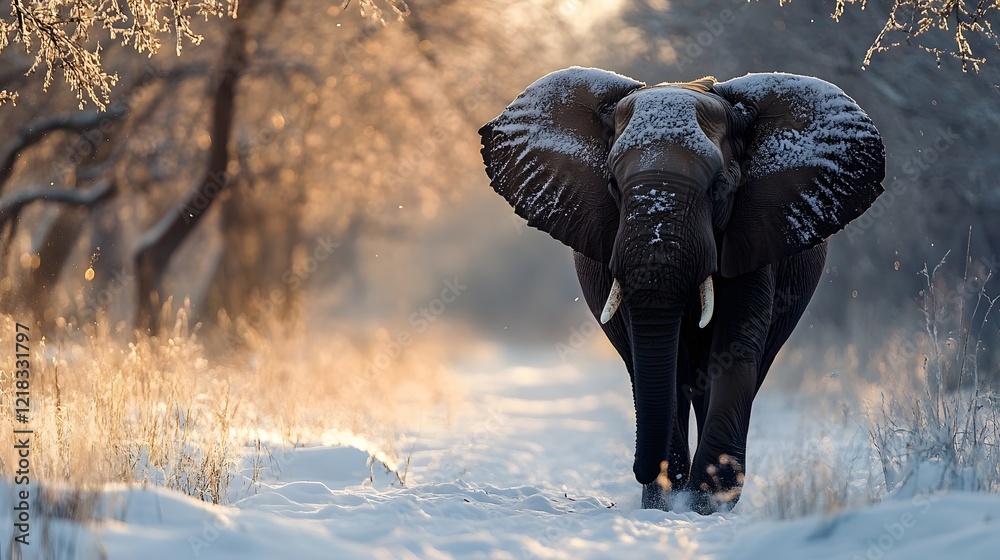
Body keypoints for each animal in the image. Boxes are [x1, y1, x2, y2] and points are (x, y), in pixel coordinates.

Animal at [478, 67, 885, 513]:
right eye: (612, 185)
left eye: (719, 187)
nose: (642, 469)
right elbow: (655, 358)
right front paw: (666, 501)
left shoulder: (753, 235)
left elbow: (733, 346)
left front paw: (706, 504)